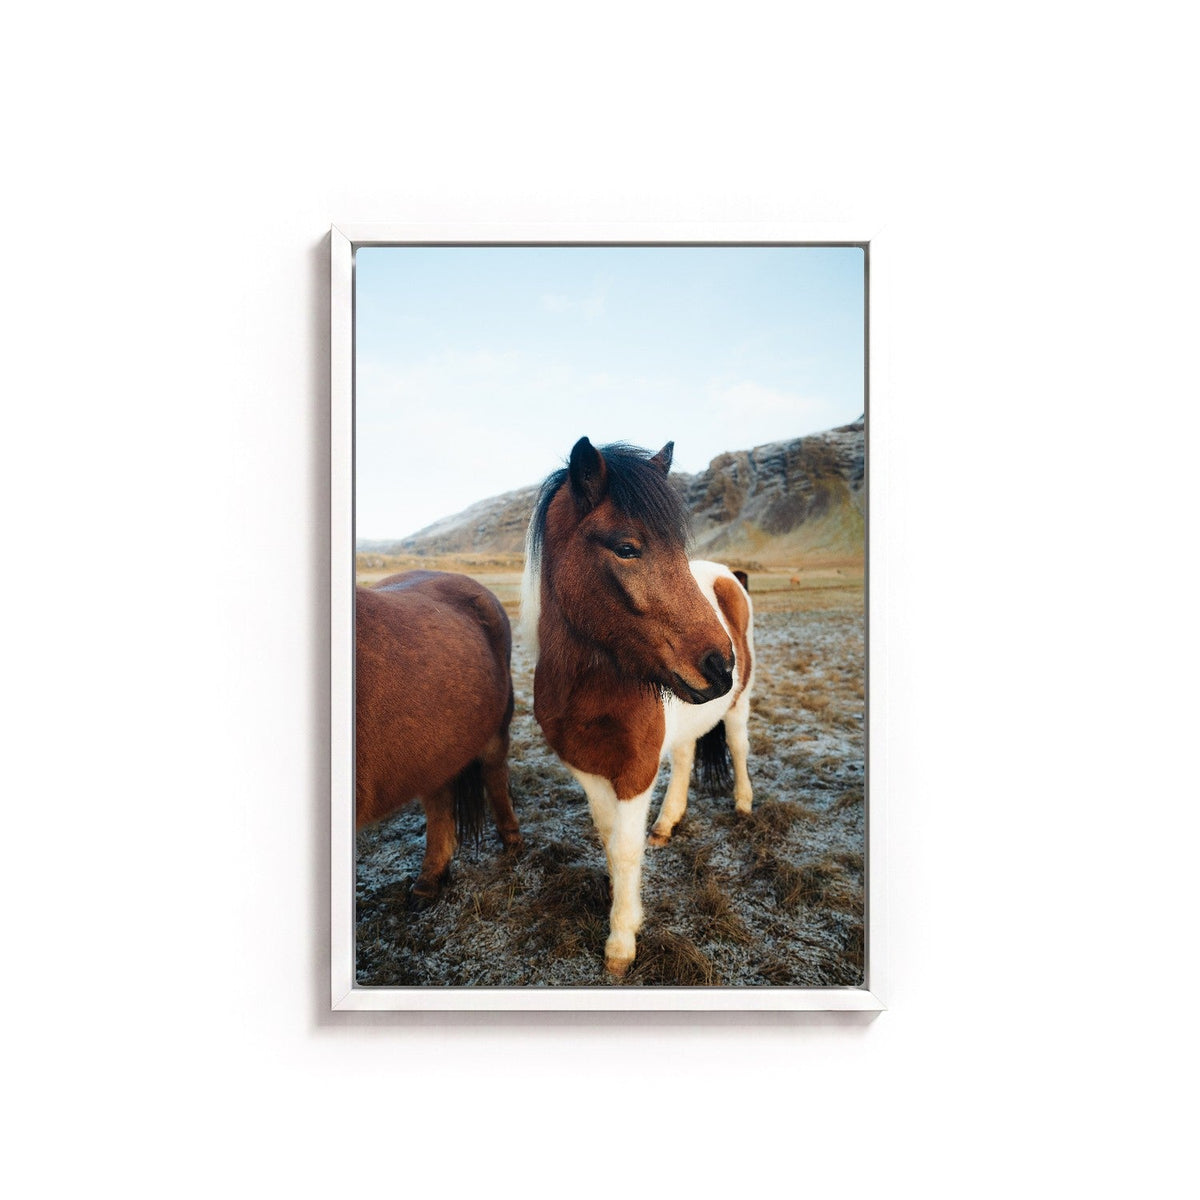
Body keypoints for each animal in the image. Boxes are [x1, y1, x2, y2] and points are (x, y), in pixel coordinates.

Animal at [356, 570, 523, 906]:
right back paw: (430, 879)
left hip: (494, 732)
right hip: (435, 749)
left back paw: (512, 840)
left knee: (495, 776)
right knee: (440, 802)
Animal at [521, 438, 755, 977]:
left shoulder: (636, 770)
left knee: (738, 747)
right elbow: (610, 840)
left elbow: (626, 850)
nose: (720, 666)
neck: (590, 689)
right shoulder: (586, 767)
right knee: (687, 758)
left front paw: (622, 939)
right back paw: (667, 824)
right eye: (626, 548)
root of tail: (728, 576)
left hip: (740, 706)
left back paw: (744, 804)